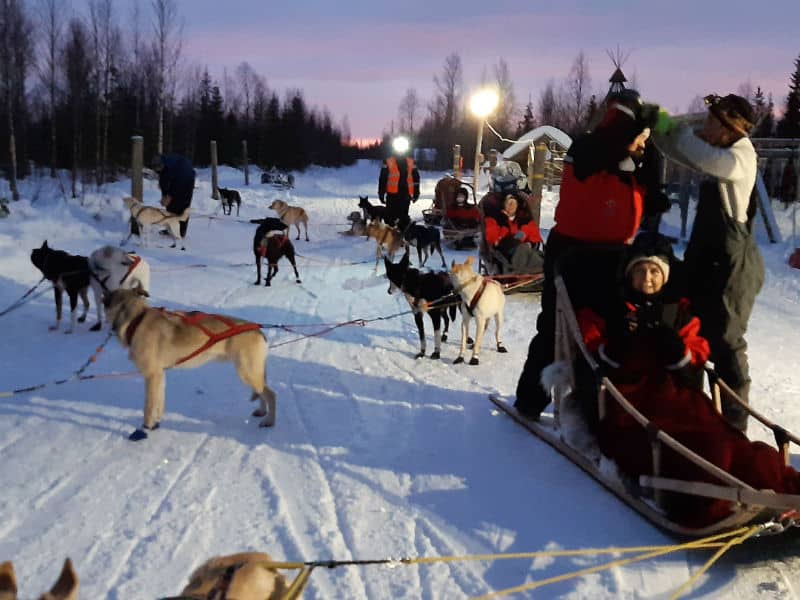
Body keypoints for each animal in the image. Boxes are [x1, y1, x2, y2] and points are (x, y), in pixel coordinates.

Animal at [103, 286, 278, 440]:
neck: (136, 321)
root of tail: (258, 329)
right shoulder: (159, 376)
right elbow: (159, 403)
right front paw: (156, 423)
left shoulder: (151, 376)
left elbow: (149, 407)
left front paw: (145, 428)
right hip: (252, 374)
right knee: (262, 392)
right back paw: (262, 412)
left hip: (247, 373)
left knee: (270, 394)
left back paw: (269, 421)